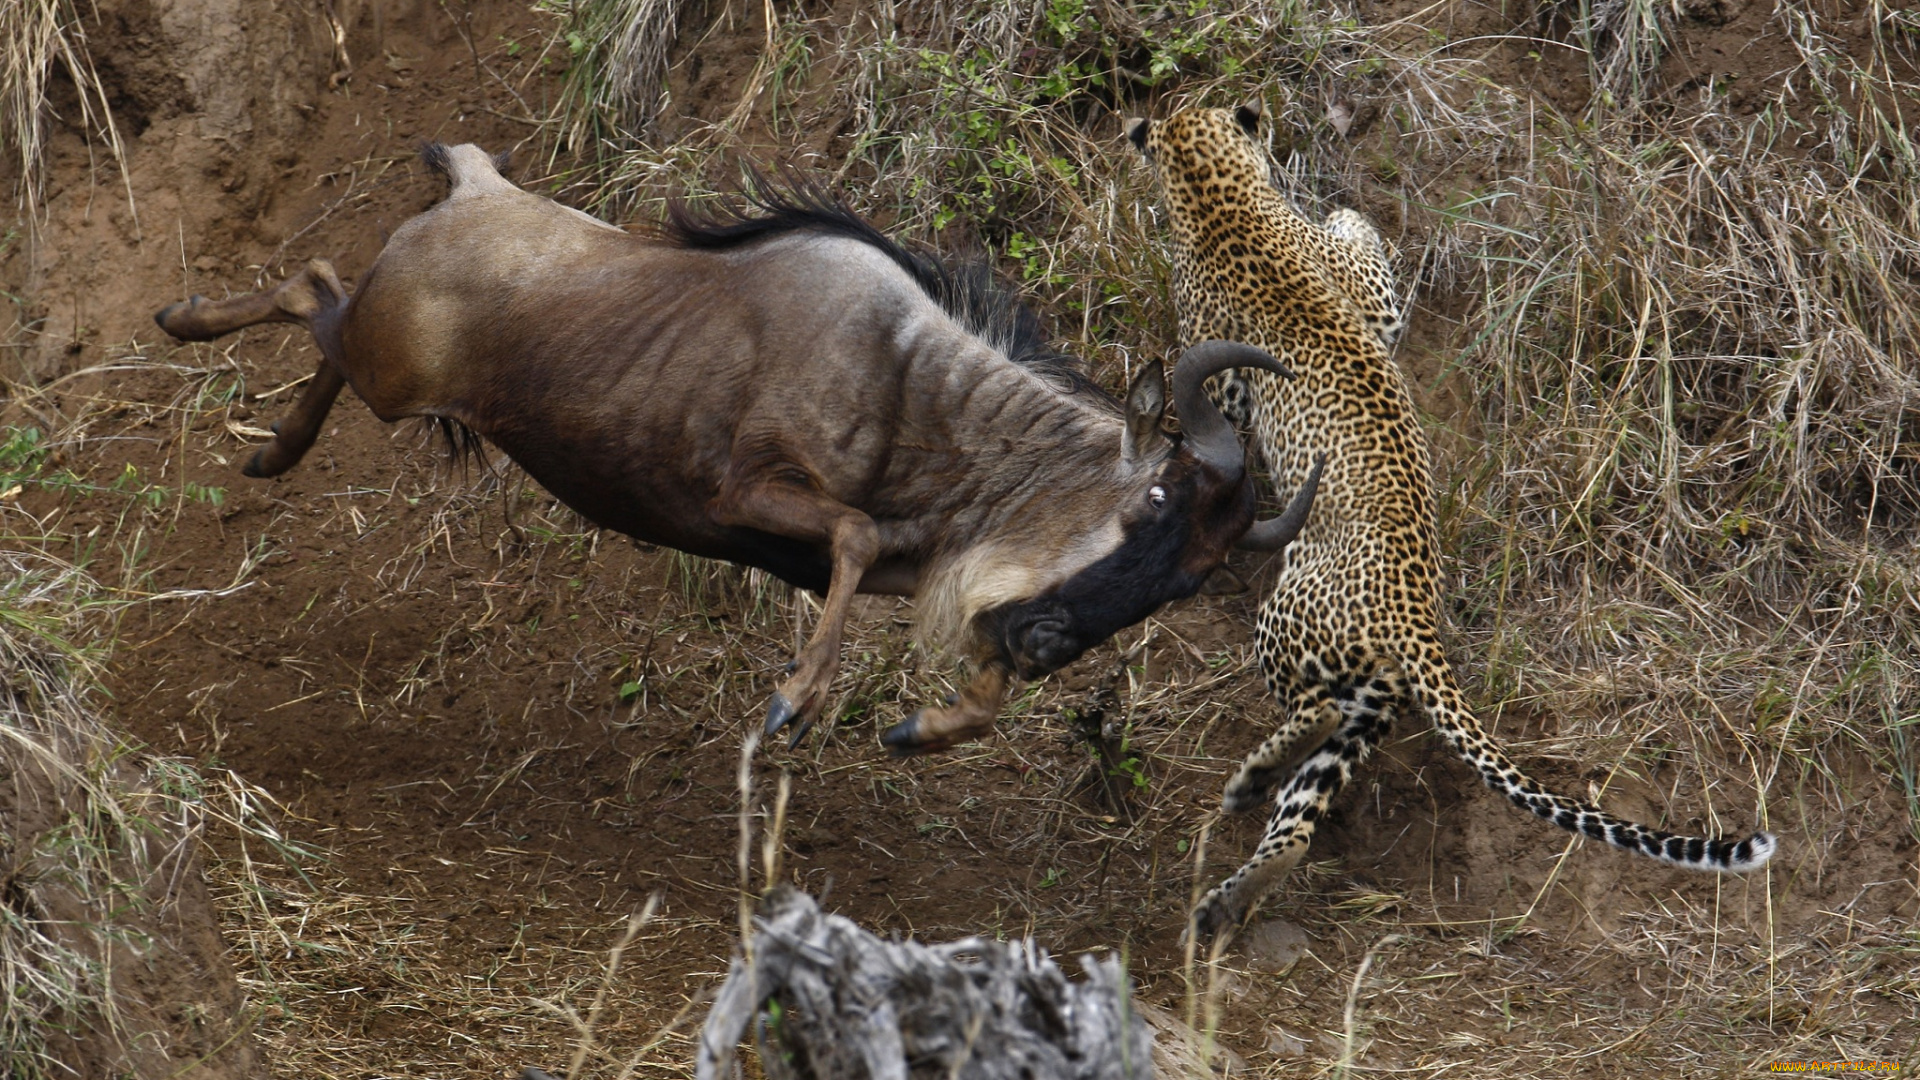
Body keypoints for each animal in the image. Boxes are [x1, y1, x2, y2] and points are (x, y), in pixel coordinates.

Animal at [1121, 102, 1766, 941]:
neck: (1222, 197)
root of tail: (1417, 623)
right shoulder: (1373, 308)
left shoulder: (1228, 370)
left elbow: (1345, 233)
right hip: (1368, 708)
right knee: (1298, 818)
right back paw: (1229, 890)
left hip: (1294, 625)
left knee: (1310, 712)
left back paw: (1246, 786)